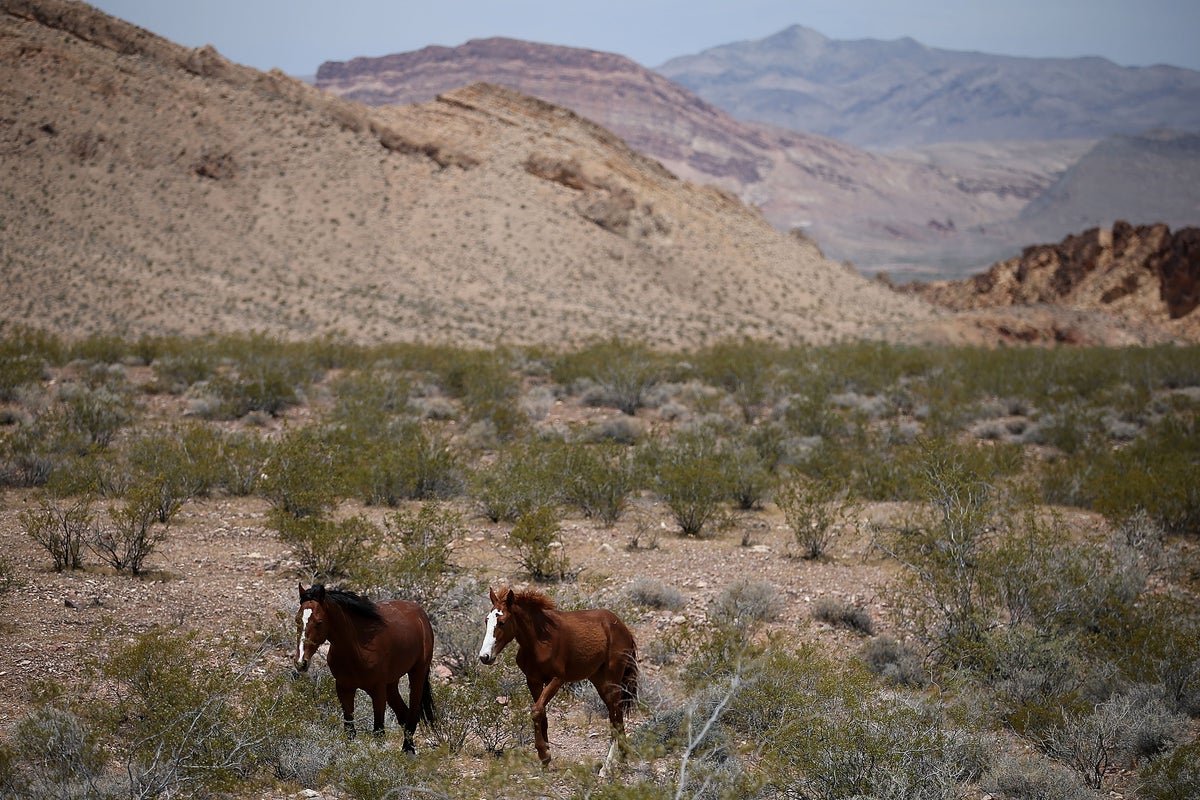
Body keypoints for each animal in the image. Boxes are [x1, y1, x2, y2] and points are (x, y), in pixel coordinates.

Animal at [294, 583, 436, 752]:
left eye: (319, 622)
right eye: (297, 620)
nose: (301, 662)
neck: (358, 649)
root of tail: (420, 613)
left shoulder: (378, 690)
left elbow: (379, 732)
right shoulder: (344, 688)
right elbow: (349, 731)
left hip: (417, 673)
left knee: (412, 718)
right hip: (391, 684)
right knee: (404, 715)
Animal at [478, 584, 639, 776]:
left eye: (502, 622)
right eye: (487, 621)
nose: (485, 657)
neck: (539, 641)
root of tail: (624, 628)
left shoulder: (557, 679)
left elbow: (536, 710)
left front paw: (543, 754)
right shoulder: (533, 680)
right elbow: (542, 714)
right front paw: (545, 761)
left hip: (612, 681)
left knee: (615, 718)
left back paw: (606, 768)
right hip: (600, 682)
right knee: (617, 716)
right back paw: (623, 761)